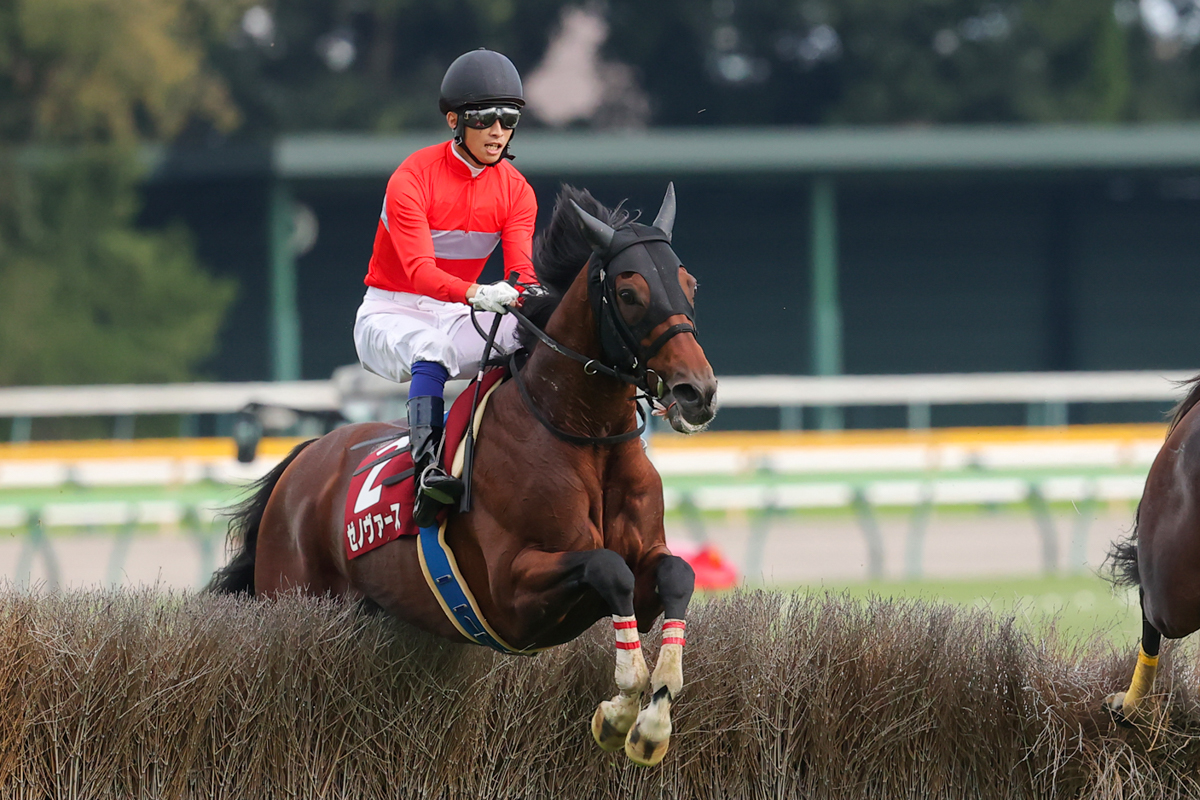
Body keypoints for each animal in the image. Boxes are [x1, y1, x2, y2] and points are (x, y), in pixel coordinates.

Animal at [210, 184, 715, 767]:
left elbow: (677, 574)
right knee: (431, 353)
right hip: (293, 599)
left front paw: (654, 718)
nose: (697, 392)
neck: (582, 436)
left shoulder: (645, 563)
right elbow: (610, 569)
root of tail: (304, 460)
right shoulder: (511, 595)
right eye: (629, 292)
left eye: (689, 283)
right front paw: (620, 710)